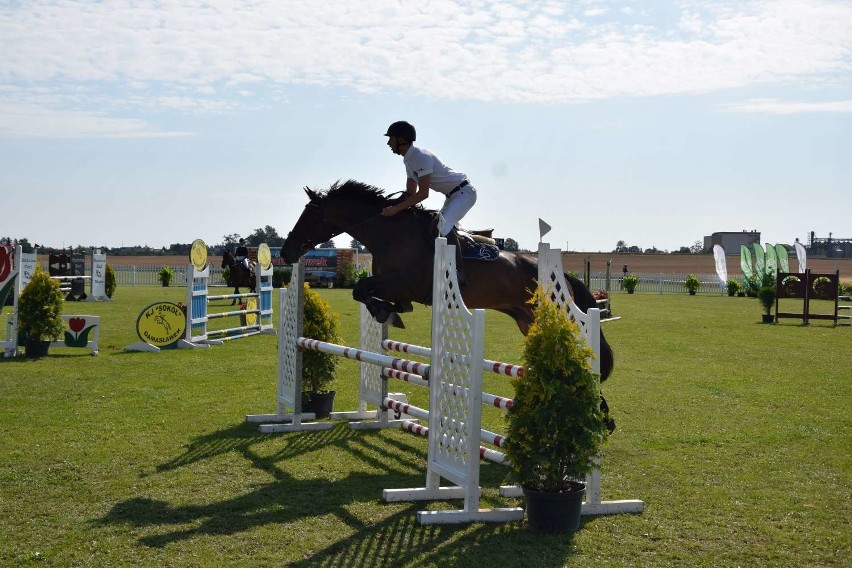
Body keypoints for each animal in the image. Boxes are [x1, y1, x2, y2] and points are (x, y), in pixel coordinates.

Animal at [282, 179, 612, 382]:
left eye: (310, 217)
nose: (286, 252)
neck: (390, 234)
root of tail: (563, 276)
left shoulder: (401, 283)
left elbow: (362, 289)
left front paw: (386, 312)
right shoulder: (392, 284)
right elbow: (363, 293)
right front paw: (391, 311)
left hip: (553, 313)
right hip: (526, 320)